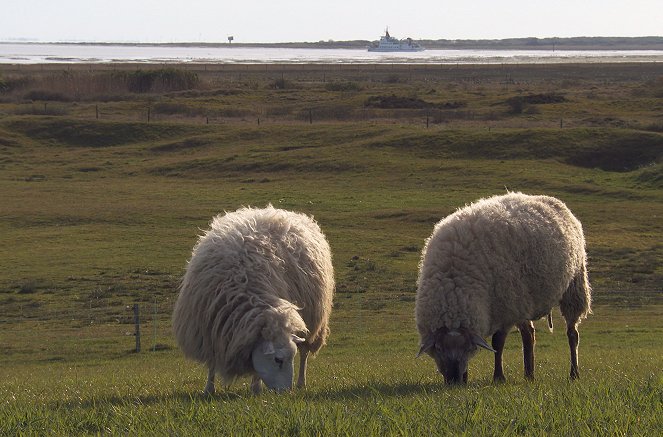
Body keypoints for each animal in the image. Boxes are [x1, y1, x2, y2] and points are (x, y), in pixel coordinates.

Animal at [172, 204, 334, 392]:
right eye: (278, 360)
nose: (286, 392)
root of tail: (277, 211)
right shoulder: (209, 328)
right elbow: (212, 361)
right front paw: (209, 389)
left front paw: (256, 388)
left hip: (315, 320)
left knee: (305, 352)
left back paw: (301, 382)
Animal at [418, 192, 592, 384]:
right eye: (438, 348)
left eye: (468, 348)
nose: (454, 380)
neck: (455, 280)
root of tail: (552, 200)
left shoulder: (505, 309)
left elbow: (497, 343)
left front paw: (498, 377)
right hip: (523, 298)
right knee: (529, 335)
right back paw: (529, 375)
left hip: (572, 286)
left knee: (572, 334)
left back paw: (574, 373)